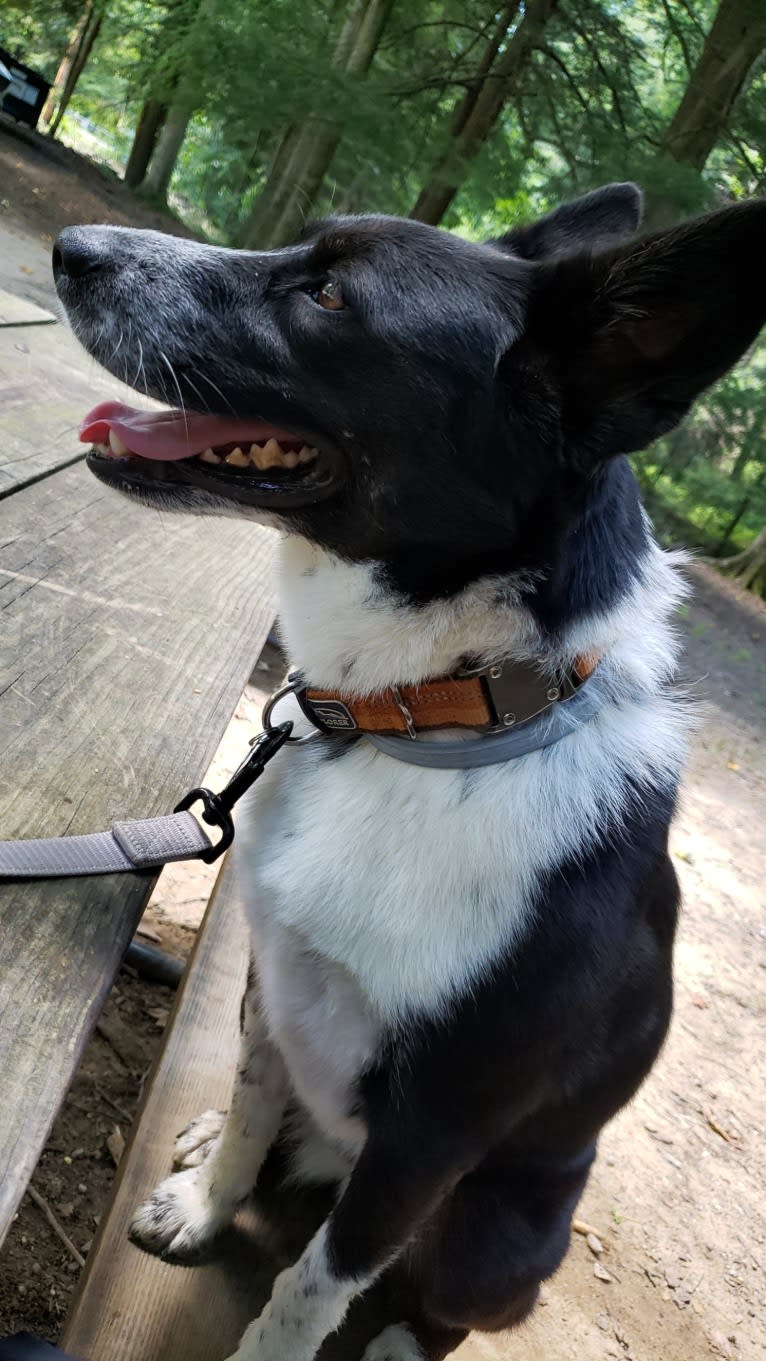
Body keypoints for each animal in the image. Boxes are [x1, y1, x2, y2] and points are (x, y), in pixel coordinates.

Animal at [54, 183, 766, 1361]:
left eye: (332, 295)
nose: (71, 249)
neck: (433, 718)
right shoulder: (273, 983)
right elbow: (253, 1106)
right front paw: (208, 1201)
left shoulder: (428, 1139)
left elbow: (313, 1283)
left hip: (491, 1232)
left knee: (444, 1306)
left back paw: (397, 1343)